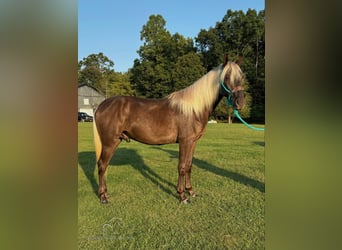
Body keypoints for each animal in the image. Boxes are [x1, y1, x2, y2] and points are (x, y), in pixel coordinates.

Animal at [92, 53, 244, 204]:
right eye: (227, 76)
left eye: (242, 76)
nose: (240, 103)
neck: (193, 109)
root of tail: (101, 105)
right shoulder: (185, 142)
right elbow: (181, 167)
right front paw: (182, 196)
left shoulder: (193, 142)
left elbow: (189, 165)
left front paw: (191, 192)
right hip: (109, 143)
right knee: (102, 165)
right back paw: (103, 197)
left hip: (116, 140)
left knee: (104, 166)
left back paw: (106, 194)